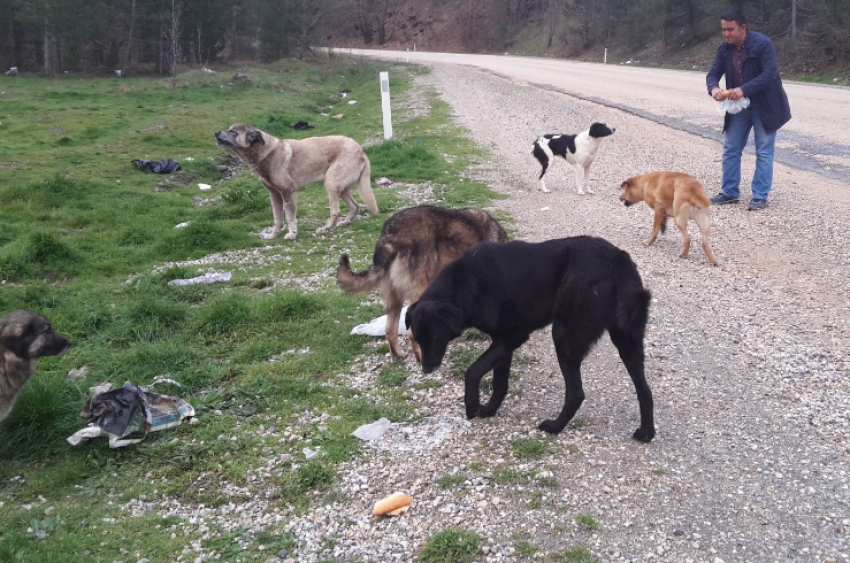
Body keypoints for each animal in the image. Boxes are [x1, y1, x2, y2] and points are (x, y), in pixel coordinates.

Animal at [215, 124, 378, 239]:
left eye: (233, 132)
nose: (216, 133)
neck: (265, 153)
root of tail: (361, 150)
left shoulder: (288, 191)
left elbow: (290, 217)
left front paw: (292, 234)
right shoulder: (274, 195)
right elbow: (277, 218)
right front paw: (273, 235)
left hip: (331, 183)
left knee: (336, 211)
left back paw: (325, 228)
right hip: (339, 187)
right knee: (355, 206)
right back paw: (345, 222)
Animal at [336, 205, 506, 360]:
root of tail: (390, 237)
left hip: (393, 295)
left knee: (390, 329)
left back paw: (397, 355)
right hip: (420, 289)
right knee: (411, 334)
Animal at [404, 236, 656, 442]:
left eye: (435, 339)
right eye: (418, 340)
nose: (426, 369)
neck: (468, 283)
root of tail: (616, 259)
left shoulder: (511, 338)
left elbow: (473, 372)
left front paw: (473, 407)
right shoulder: (502, 342)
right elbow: (499, 383)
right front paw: (489, 410)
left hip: (564, 338)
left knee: (576, 394)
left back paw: (555, 427)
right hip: (627, 341)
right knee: (644, 390)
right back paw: (646, 433)